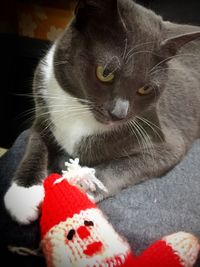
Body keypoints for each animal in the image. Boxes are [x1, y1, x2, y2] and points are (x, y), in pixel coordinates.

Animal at [3, 0, 200, 226]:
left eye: (146, 89)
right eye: (105, 73)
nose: (119, 114)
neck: (80, 111)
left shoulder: (166, 140)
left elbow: (123, 166)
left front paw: (82, 188)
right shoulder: (43, 111)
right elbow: (35, 143)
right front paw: (23, 194)